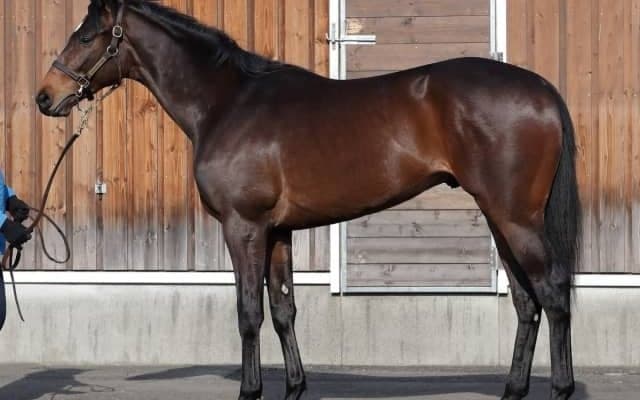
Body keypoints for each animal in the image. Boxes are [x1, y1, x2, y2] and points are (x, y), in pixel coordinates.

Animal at [36, 1, 580, 399]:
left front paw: (251, 391)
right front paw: (294, 387)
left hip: (516, 218)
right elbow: (284, 310)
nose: (45, 96)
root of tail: (542, 90)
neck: (227, 104)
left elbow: (249, 313)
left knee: (552, 295)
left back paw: (560, 388)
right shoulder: (278, 231)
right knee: (526, 302)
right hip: (499, 218)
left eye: (86, 36)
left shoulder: (243, 227)